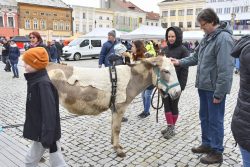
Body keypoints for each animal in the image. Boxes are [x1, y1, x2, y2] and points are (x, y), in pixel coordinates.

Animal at [46, 56, 180, 158]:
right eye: (166, 71)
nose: (178, 92)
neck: (131, 78)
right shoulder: (120, 108)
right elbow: (117, 128)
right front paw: (118, 150)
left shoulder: (114, 108)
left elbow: (112, 125)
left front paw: (114, 144)